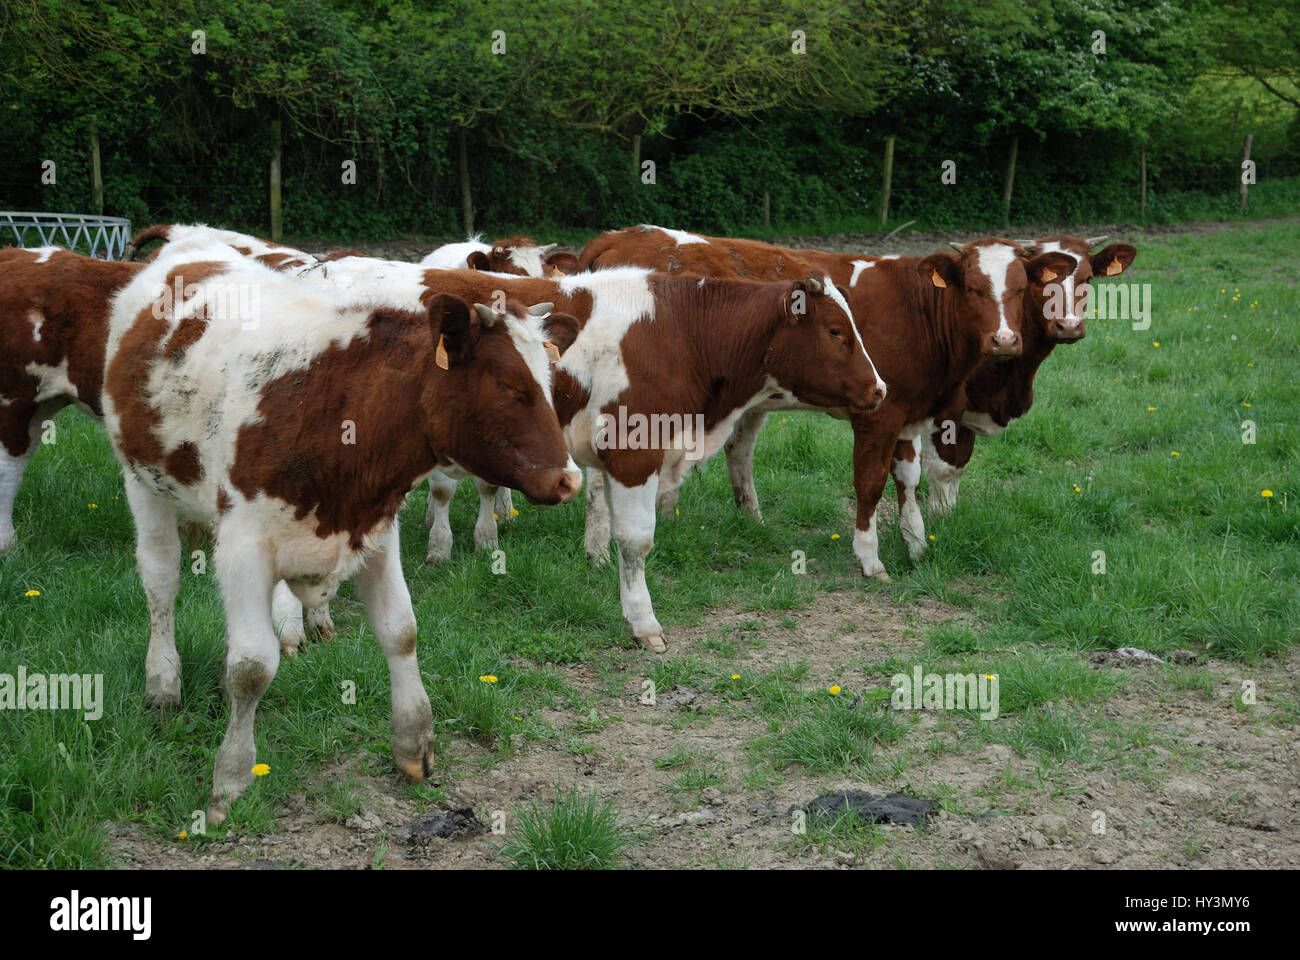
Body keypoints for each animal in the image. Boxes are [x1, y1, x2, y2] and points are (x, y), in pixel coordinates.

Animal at [101, 240, 580, 823]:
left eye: (550, 382)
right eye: (508, 387)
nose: (569, 480)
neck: (337, 404)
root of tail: (192, 248)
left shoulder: (375, 529)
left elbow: (401, 631)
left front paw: (414, 744)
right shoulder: (241, 546)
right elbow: (252, 667)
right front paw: (231, 778)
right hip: (142, 483)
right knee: (161, 584)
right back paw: (163, 682)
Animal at [577, 225, 1077, 579]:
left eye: (1019, 289)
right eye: (972, 287)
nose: (1004, 339)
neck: (918, 311)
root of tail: (616, 237)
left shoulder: (909, 413)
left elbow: (908, 479)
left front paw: (916, 543)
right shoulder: (878, 413)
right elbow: (871, 483)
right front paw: (870, 558)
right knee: (599, 480)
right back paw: (598, 550)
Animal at [914, 235, 1138, 513]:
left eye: (1087, 279)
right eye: (1040, 282)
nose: (1069, 326)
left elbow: (958, 466)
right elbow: (942, 470)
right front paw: (939, 519)